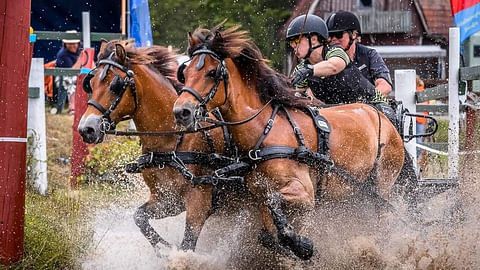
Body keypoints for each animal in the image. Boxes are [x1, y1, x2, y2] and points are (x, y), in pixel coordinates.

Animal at [76, 40, 238, 253]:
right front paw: (163, 248)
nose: (86, 129)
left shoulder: (199, 200)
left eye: (115, 85)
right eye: (91, 83)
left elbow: (187, 244)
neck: (171, 142)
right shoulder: (167, 199)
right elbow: (139, 217)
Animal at [172, 25, 404, 260]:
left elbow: (274, 201)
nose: (181, 112)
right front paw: (295, 247)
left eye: (212, 73)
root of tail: (379, 115)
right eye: (186, 74)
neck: (265, 131)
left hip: (382, 184)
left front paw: (302, 245)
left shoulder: (304, 193)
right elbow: (268, 234)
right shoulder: (259, 194)